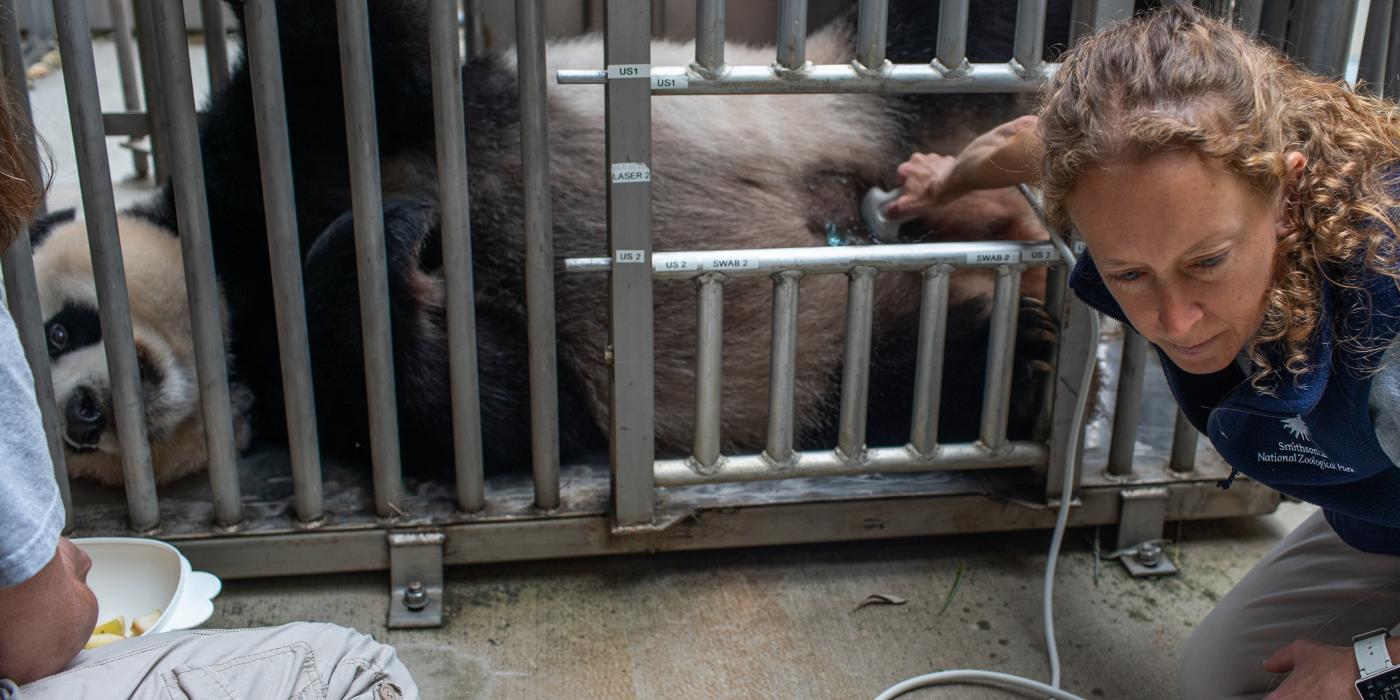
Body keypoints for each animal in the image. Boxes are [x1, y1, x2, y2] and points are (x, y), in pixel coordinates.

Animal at [35, 0, 1069, 484]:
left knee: (939, 34)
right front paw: (382, 245)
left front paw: (382, 225)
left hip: (847, 92)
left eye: (54, 329)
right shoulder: (330, 402)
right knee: (893, 380)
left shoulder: (269, 148)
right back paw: (1021, 360)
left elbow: (347, 66)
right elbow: (491, 399)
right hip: (817, 362)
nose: (83, 412)